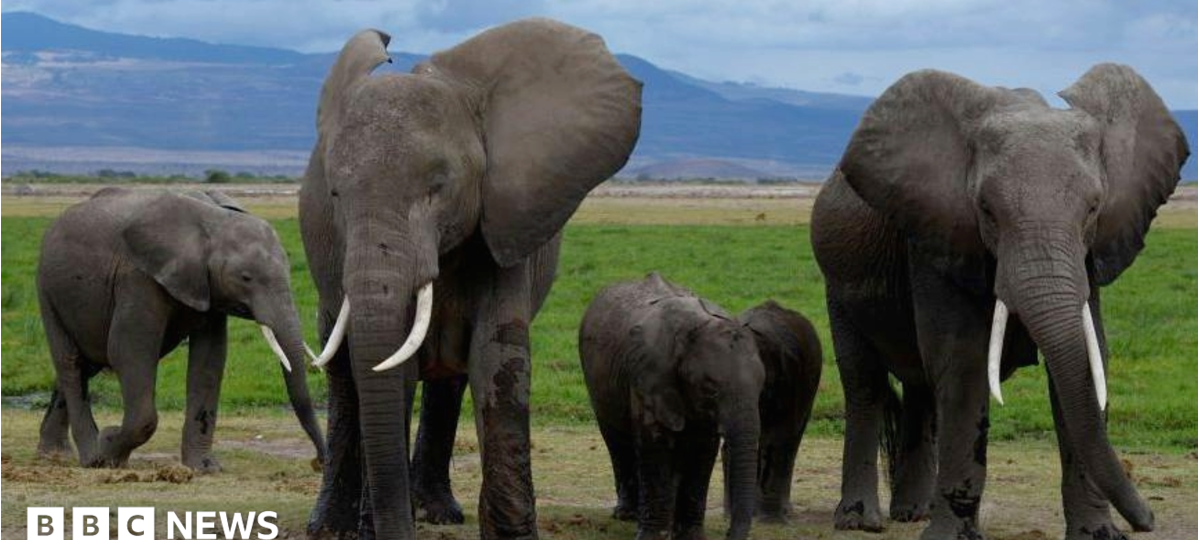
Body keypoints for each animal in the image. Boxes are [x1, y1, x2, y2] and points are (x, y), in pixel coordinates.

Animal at [36, 187, 325, 471]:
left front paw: (204, 468)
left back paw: (54, 454)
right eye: (246, 278)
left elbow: (209, 360)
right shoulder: (138, 278)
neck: (213, 222)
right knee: (71, 364)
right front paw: (109, 449)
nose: (319, 462)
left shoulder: (207, 288)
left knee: (86, 364)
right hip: (47, 291)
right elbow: (128, 350)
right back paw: (90, 457)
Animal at [298, 18, 641, 540]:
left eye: (438, 186)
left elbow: (496, 360)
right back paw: (332, 527)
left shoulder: (505, 220)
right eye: (335, 194)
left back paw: (436, 513)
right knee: (343, 376)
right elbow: (389, 369)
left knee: (448, 378)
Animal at [580, 273, 765, 540]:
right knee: (617, 440)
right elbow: (655, 445)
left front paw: (690, 536)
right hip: (596, 379)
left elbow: (702, 449)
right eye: (711, 389)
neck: (695, 328)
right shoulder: (648, 376)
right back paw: (627, 515)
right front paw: (652, 536)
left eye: (762, 387)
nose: (728, 532)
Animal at [810, 64, 1189, 540]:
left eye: (1093, 209)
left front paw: (1098, 535)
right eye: (987, 210)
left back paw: (914, 512)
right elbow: (964, 365)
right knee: (865, 384)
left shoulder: (1088, 257)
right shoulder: (940, 236)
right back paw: (861, 521)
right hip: (838, 284)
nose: (1148, 521)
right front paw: (951, 538)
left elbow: (1085, 363)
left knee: (920, 388)